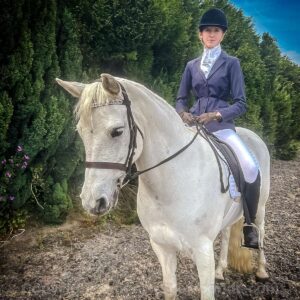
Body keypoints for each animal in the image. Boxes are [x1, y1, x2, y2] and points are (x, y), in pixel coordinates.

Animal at [55, 73, 270, 300]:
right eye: (80, 132)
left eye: (117, 131)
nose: (92, 201)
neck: (171, 186)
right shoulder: (161, 245)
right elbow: (170, 288)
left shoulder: (202, 250)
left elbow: (206, 292)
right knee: (227, 232)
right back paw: (221, 270)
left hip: (260, 209)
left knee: (261, 231)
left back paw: (262, 271)